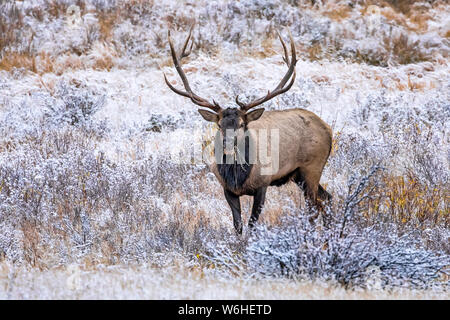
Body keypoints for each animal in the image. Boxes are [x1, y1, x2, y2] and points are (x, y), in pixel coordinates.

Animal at [163, 25, 332, 235]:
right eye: (219, 124)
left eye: (242, 124)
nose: (227, 143)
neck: (238, 177)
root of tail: (328, 130)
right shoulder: (227, 189)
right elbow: (237, 225)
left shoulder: (263, 184)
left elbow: (252, 224)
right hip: (299, 175)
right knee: (327, 200)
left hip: (312, 167)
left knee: (314, 207)